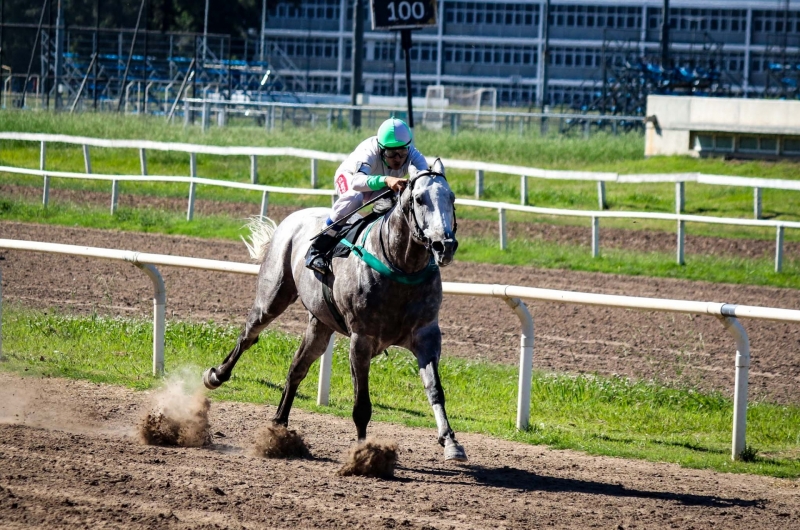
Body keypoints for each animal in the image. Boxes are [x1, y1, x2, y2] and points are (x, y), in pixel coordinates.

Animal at [203, 159, 466, 460]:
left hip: (320, 323)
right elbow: (362, 404)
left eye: (451, 198)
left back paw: (278, 426)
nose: (445, 245)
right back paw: (216, 375)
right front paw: (364, 453)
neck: (400, 265)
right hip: (273, 296)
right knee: (249, 334)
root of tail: (294, 218)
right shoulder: (361, 340)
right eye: (420, 199)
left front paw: (451, 442)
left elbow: (435, 390)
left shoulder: (426, 336)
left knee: (297, 367)